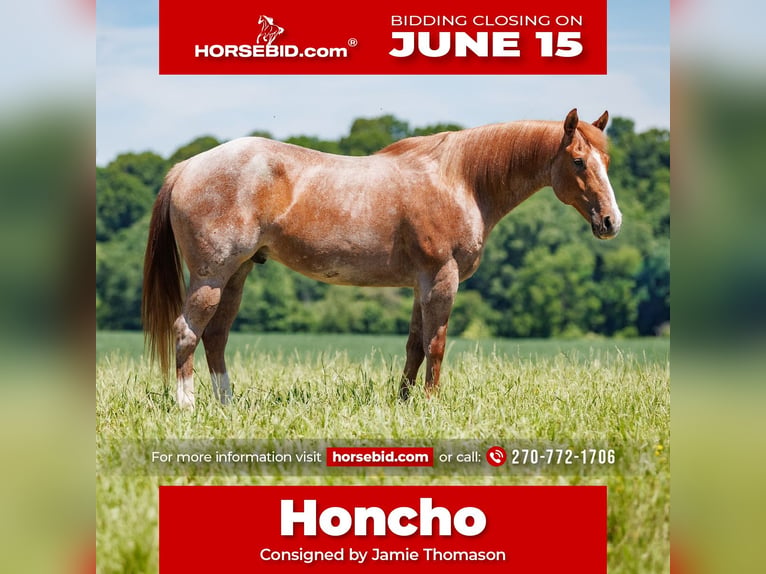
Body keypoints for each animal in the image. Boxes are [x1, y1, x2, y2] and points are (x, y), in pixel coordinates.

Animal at [142, 109, 621, 409]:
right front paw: (430, 404)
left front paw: (405, 401)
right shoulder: (441, 279)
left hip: (237, 275)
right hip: (211, 275)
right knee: (187, 331)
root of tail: (186, 167)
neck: (460, 180)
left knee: (215, 337)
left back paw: (227, 404)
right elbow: (435, 344)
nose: (611, 221)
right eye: (579, 161)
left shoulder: (420, 283)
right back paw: (187, 405)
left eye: (606, 159)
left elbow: (413, 345)